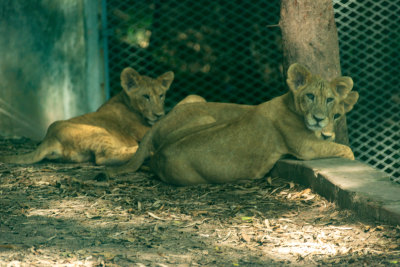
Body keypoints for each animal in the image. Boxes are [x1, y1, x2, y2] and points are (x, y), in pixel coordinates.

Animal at [0, 67, 174, 165]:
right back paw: (140, 149)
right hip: (99, 131)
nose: (159, 114)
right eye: (146, 96)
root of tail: (49, 137)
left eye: (161, 95)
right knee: (104, 158)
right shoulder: (141, 129)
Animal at [108, 63, 360, 185]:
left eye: (330, 101)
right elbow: (346, 150)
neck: (289, 102)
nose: (319, 119)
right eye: (310, 96)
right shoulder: (305, 147)